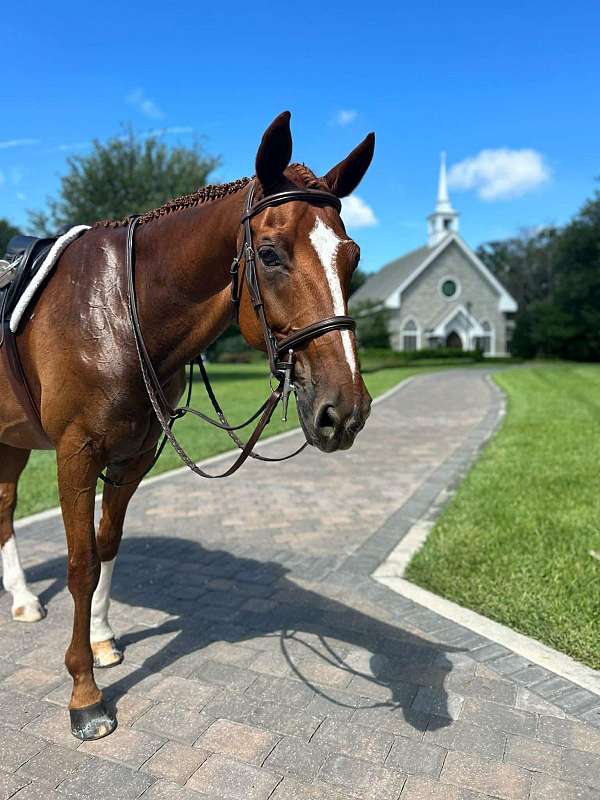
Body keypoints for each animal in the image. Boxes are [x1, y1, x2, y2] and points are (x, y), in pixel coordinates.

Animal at [0, 111, 374, 740]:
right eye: (269, 254)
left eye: (352, 256)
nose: (343, 411)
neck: (120, 309)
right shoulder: (76, 453)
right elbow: (80, 564)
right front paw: (84, 695)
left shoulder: (135, 454)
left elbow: (107, 548)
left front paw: (102, 640)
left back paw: (24, 599)